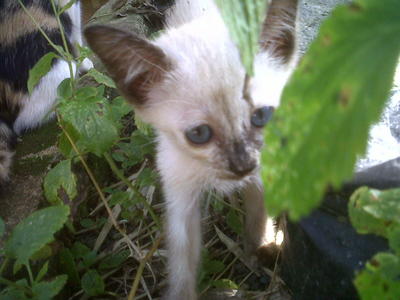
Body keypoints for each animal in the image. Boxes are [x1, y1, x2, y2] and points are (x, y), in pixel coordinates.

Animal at [84, 0, 296, 298]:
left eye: (262, 116)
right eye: (199, 134)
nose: (243, 165)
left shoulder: (264, 167)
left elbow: (259, 213)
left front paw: (261, 247)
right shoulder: (180, 195)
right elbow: (183, 263)